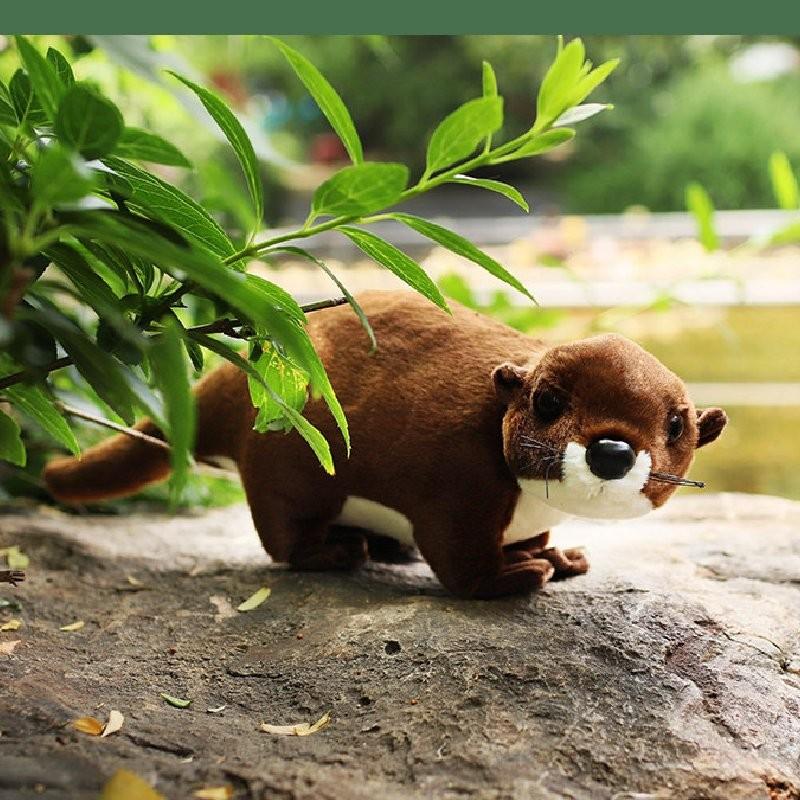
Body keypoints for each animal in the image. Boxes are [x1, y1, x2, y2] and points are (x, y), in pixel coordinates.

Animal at [44, 291, 727, 598]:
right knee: (284, 541)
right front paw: (517, 575)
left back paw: (386, 548)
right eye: (549, 402)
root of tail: (232, 377)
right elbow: (461, 564)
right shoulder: (459, 486)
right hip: (288, 468)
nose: (613, 450)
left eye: (675, 426)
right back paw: (340, 552)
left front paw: (556, 557)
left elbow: (532, 539)